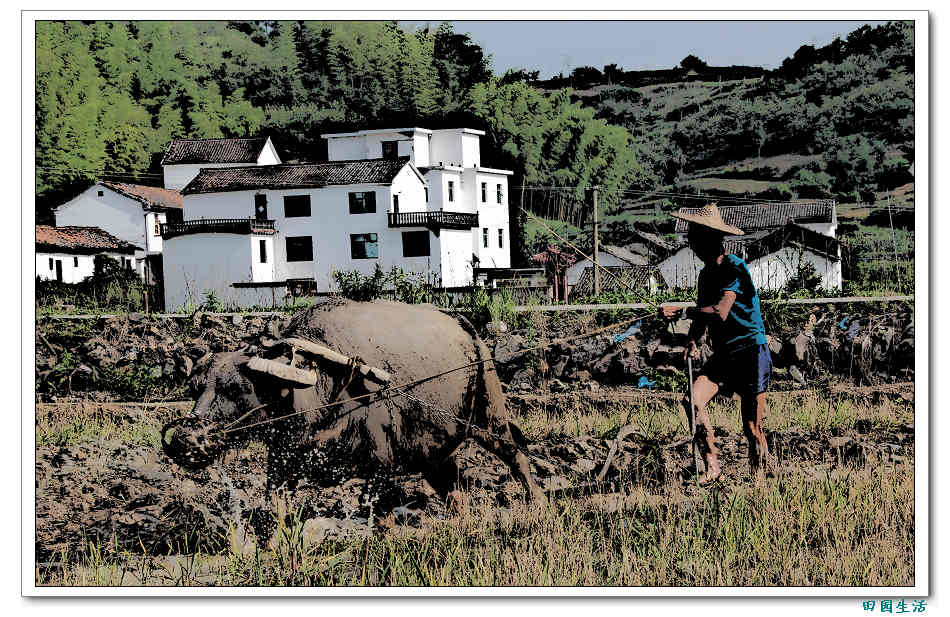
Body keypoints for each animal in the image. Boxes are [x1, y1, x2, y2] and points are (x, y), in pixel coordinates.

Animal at [164, 298, 544, 506]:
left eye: (237, 389)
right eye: (196, 388)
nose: (185, 440)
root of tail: (467, 328)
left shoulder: (380, 469)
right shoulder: (283, 466)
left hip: (490, 416)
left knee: (517, 457)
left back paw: (536, 503)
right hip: (434, 453)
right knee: (453, 491)